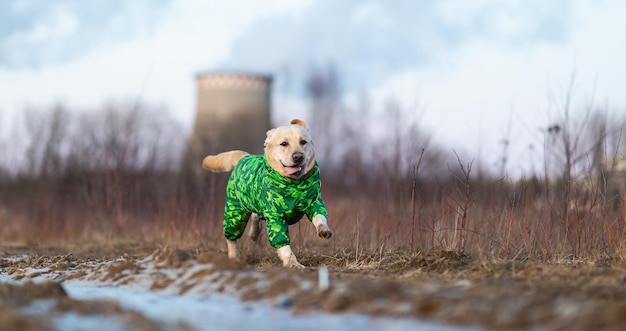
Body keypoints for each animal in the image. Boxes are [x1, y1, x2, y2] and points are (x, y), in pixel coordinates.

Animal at [204, 119, 332, 270]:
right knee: (232, 237)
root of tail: (244, 156)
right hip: (235, 211)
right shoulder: (275, 216)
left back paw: (254, 234)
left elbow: (319, 217)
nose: (298, 156)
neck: (294, 185)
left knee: (255, 215)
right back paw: (234, 257)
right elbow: (283, 244)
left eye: (303, 142)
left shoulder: (314, 202)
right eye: (284, 143)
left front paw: (324, 230)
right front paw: (292, 263)